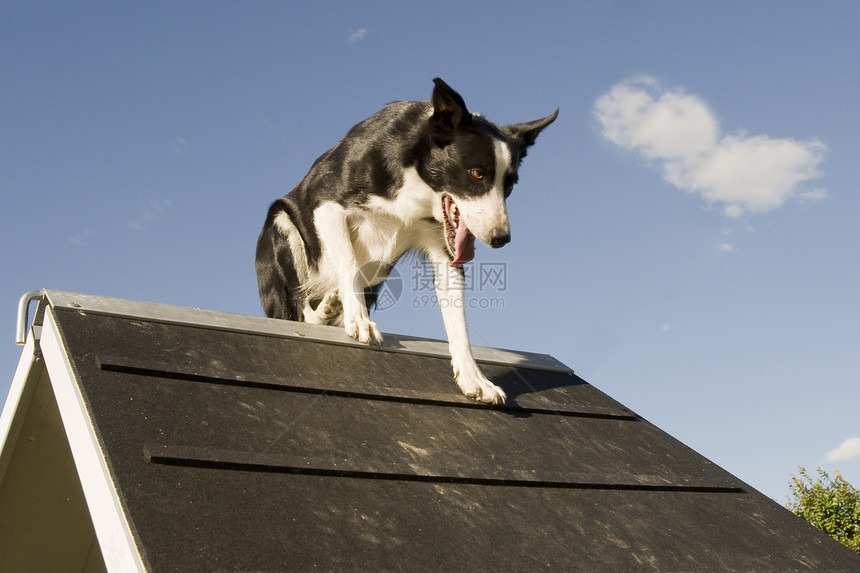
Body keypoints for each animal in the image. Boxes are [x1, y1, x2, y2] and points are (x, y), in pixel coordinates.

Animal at [255, 79, 556, 402]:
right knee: (301, 314)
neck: (417, 177)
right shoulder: (326, 205)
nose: (502, 239)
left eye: (509, 185)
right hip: (282, 227)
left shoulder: (444, 250)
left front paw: (474, 378)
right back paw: (326, 310)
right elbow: (349, 264)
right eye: (477, 173)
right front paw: (360, 320)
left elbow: (458, 321)